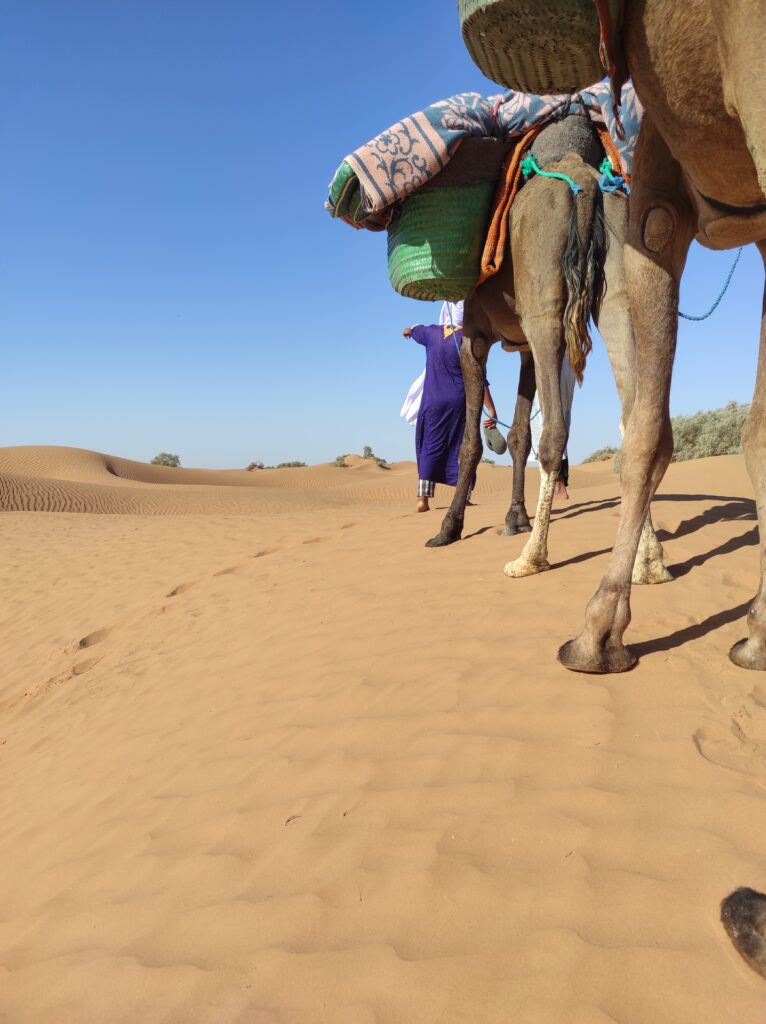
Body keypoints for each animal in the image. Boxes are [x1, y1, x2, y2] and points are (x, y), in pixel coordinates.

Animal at [428, 114, 667, 585]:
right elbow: (518, 435)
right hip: (617, 288)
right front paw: (515, 517)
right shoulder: (521, 348)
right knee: (632, 419)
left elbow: (471, 442)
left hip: (545, 305)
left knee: (555, 431)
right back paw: (648, 564)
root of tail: (583, 180)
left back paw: (531, 558)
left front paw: (449, 527)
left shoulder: (475, 338)